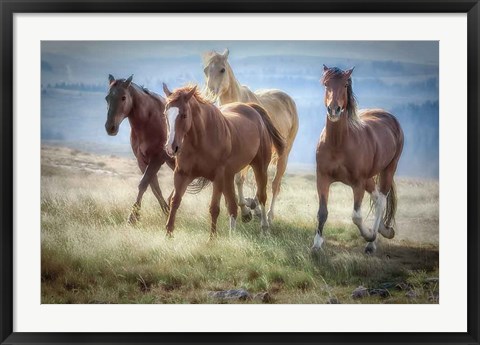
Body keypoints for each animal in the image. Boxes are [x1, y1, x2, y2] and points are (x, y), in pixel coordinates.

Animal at [104, 75, 175, 223]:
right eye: (107, 98)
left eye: (123, 97)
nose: (110, 127)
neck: (149, 121)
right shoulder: (142, 160)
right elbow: (154, 187)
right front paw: (166, 211)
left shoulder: (157, 159)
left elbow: (143, 184)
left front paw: (132, 218)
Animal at [161, 84, 284, 236]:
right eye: (165, 114)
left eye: (184, 115)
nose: (171, 147)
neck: (201, 140)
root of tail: (252, 109)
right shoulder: (182, 174)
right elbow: (175, 201)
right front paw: (168, 234)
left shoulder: (218, 177)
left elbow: (214, 208)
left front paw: (212, 238)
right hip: (229, 176)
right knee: (232, 205)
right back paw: (236, 229)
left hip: (259, 167)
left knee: (261, 196)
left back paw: (264, 229)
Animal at [314, 65, 404, 253]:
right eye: (326, 84)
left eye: (345, 85)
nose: (334, 110)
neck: (338, 143)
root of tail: (388, 116)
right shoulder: (323, 178)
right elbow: (322, 212)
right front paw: (316, 245)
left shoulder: (358, 184)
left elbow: (356, 216)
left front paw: (369, 235)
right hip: (369, 178)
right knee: (376, 198)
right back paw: (385, 231)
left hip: (389, 169)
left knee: (381, 200)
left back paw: (372, 242)